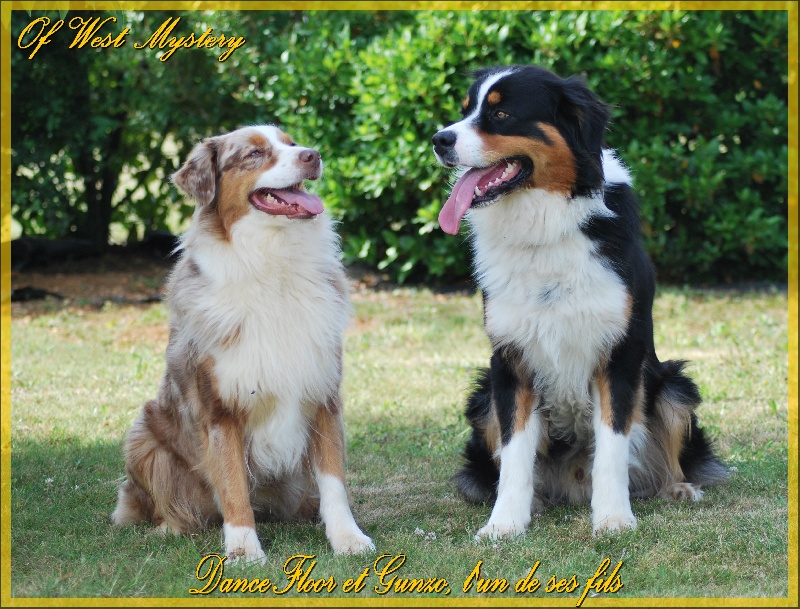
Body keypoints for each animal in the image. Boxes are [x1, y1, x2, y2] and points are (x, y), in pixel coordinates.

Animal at [434, 65, 728, 536]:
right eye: (465, 110)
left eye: (501, 114)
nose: (439, 140)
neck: (545, 230)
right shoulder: (510, 359)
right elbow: (514, 452)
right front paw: (504, 524)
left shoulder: (621, 352)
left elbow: (612, 447)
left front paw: (612, 518)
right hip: (481, 397)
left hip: (673, 385)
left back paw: (678, 488)